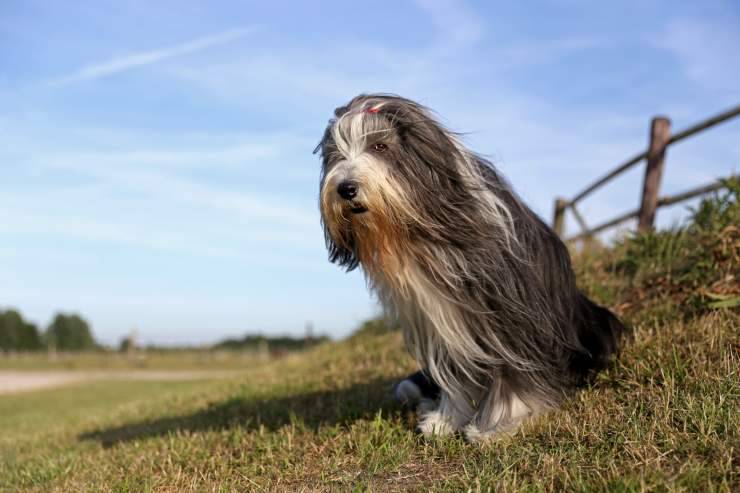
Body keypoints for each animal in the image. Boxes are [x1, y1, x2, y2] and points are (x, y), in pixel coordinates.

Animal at [314, 94, 624, 440]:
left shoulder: (509, 316)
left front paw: (499, 425)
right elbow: (456, 375)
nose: (345, 188)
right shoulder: (441, 323)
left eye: (380, 146)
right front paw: (445, 420)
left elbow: (514, 372)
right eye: (336, 155)